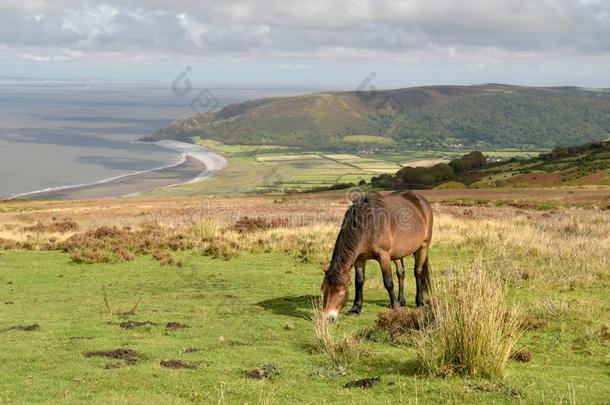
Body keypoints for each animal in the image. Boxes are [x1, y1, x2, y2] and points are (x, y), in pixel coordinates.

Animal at [320, 191, 430, 320]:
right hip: (398, 253)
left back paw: (420, 302)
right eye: (323, 290)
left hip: (424, 245)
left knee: (418, 272)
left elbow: (388, 282)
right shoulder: (359, 259)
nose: (328, 317)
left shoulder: (384, 256)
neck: (368, 225)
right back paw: (401, 301)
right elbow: (359, 282)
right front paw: (356, 308)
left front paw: (395, 307)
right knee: (401, 273)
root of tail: (420, 199)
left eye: (341, 292)